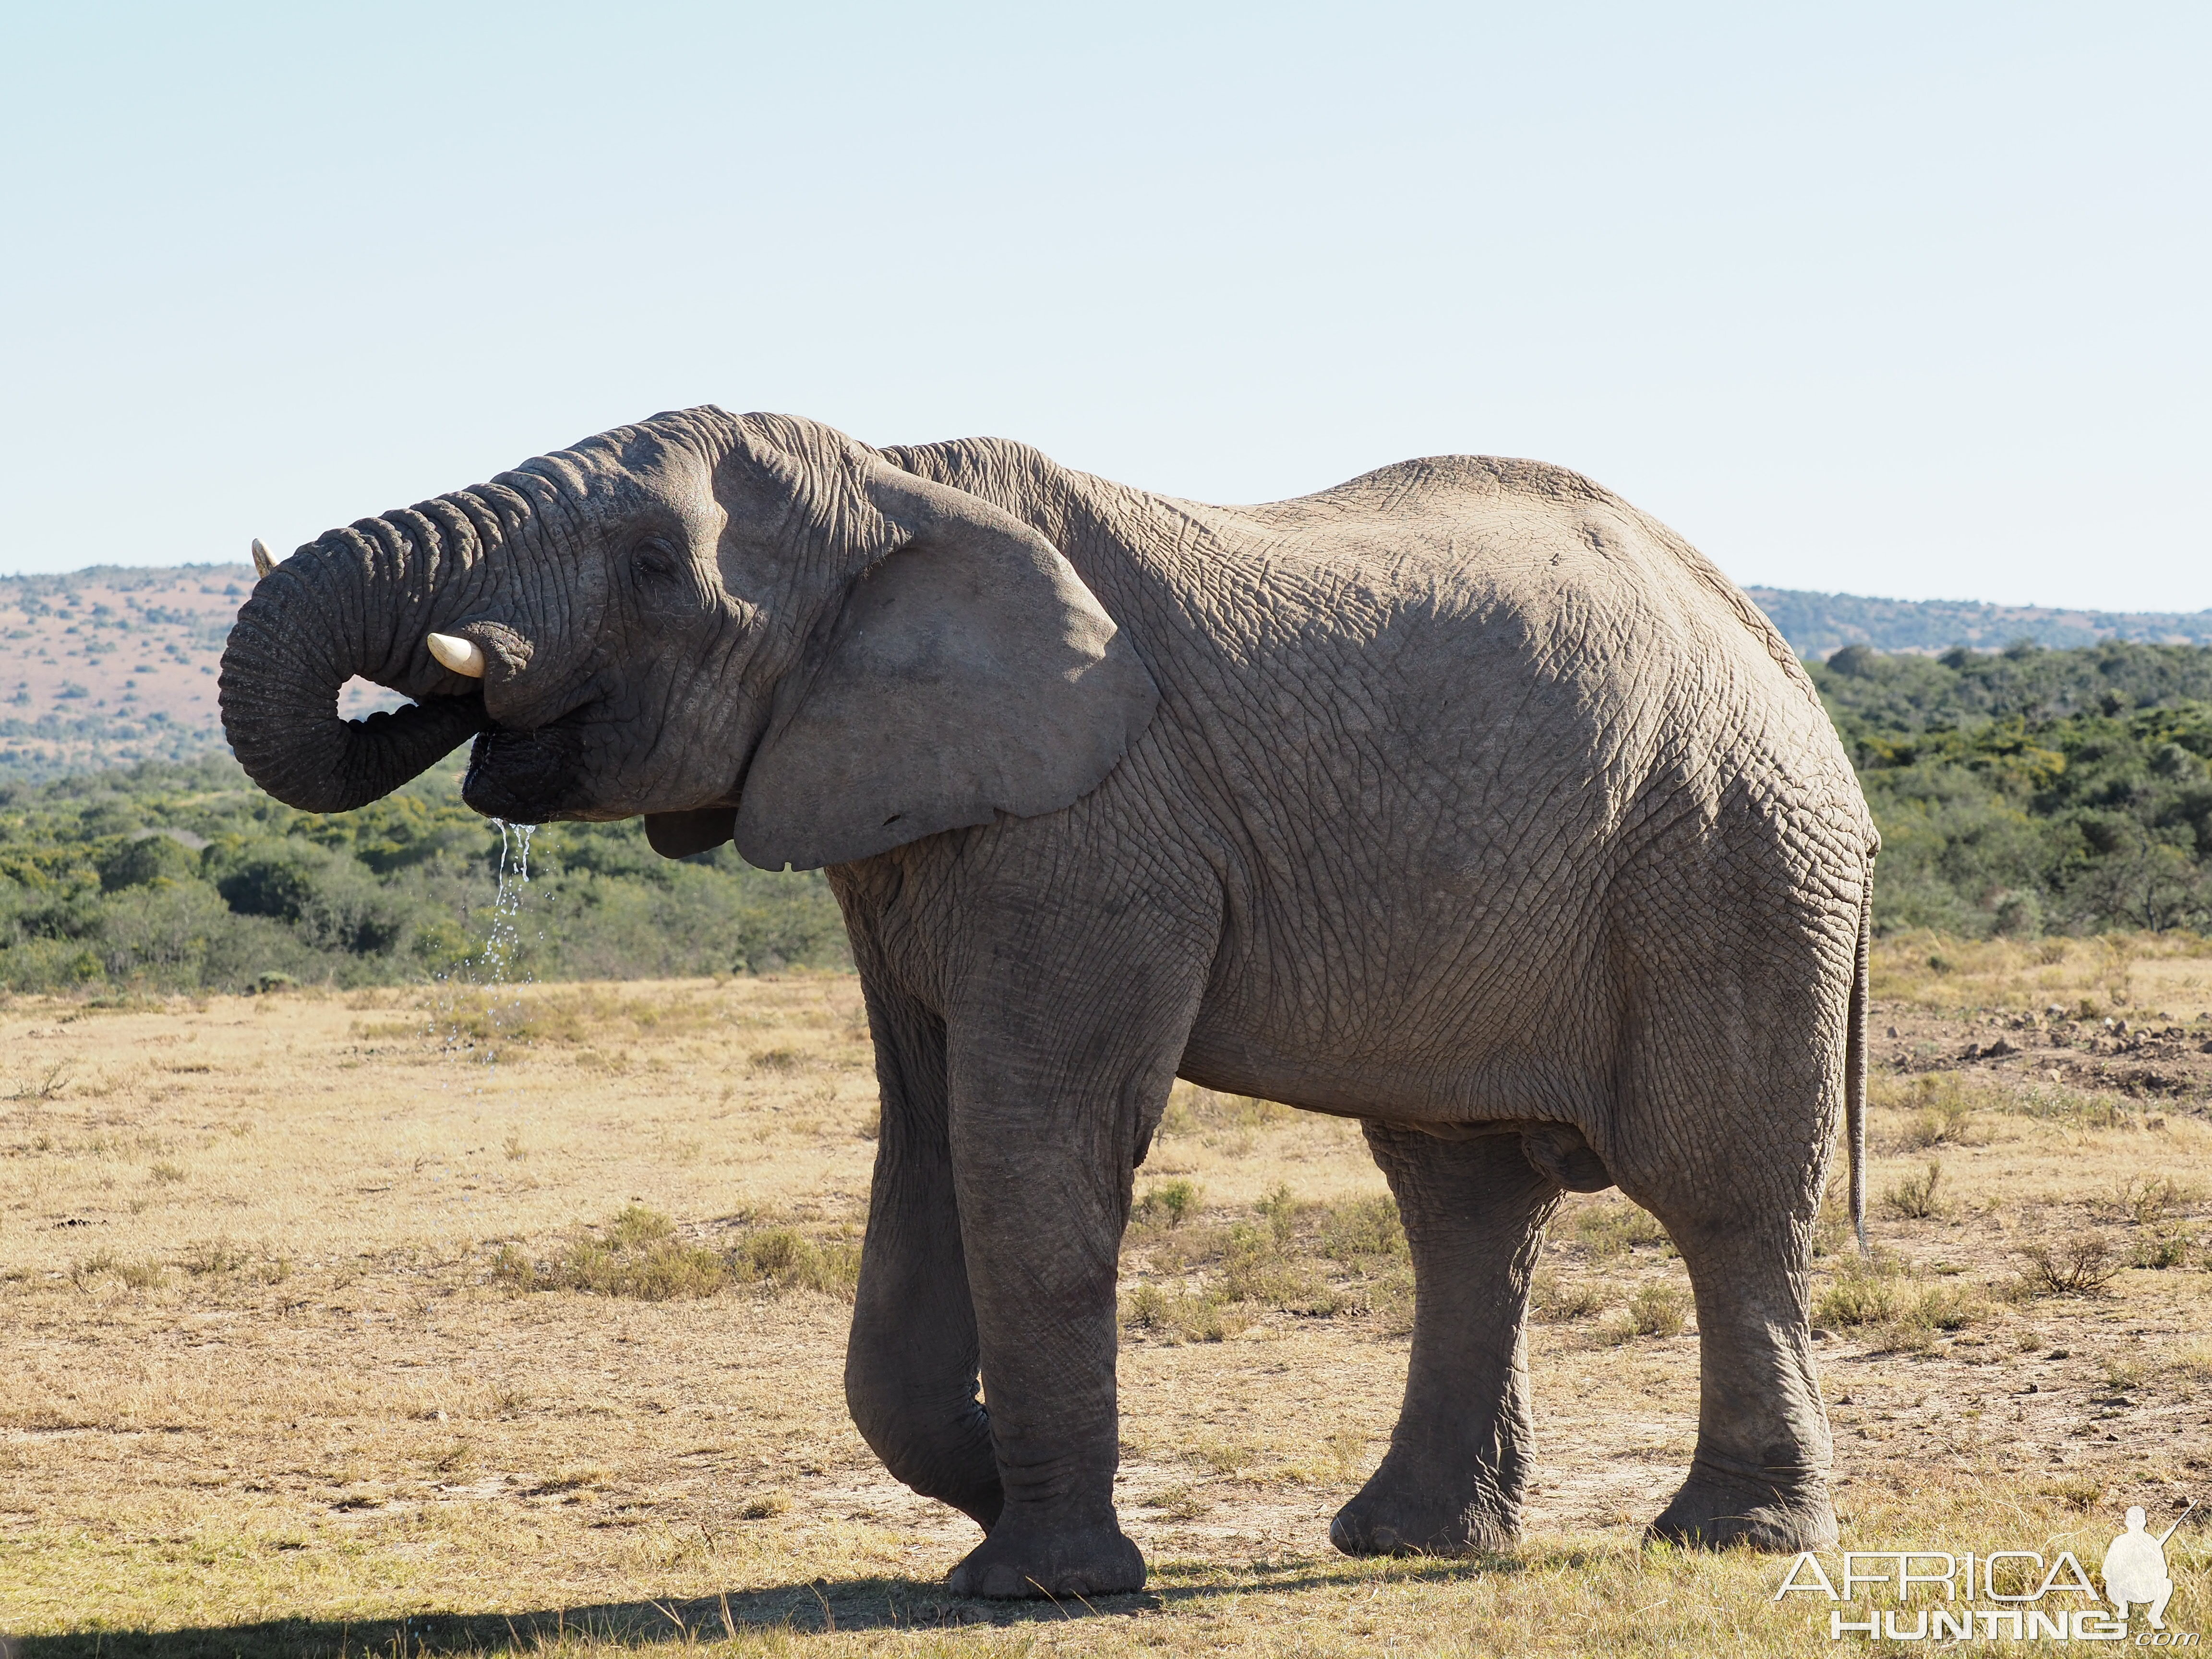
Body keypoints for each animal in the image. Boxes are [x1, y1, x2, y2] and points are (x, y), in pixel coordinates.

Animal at [224, 409, 1875, 1601]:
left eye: (651, 568)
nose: (454, 698)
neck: (891, 486)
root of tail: (1778, 655)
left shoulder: (1096, 830)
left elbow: (1030, 1146)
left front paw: (1042, 1575)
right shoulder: (907, 830)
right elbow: (924, 1143)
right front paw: (988, 1500)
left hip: (1730, 858)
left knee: (1717, 1190)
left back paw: (1727, 1542)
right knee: (1463, 1201)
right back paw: (1404, 1542)